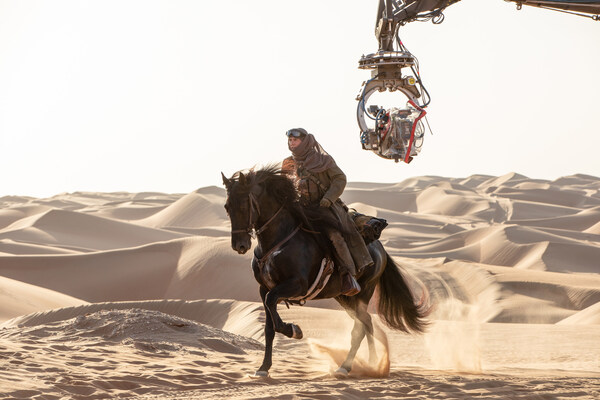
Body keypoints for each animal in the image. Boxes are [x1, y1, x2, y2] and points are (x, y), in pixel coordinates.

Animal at [223, 166, 428, 378]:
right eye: (227, 207)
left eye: (244, 205)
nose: (239, 245)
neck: (278, 240)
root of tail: (380, 248)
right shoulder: (263, 288)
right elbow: (269, 328)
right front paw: (263, 368)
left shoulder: (296, 284)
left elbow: (274, 308)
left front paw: (294, 330)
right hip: (345, 297)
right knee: (367, 322)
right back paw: (373, 363)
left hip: (364, 292)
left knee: (359, 328)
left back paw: (346, 367)